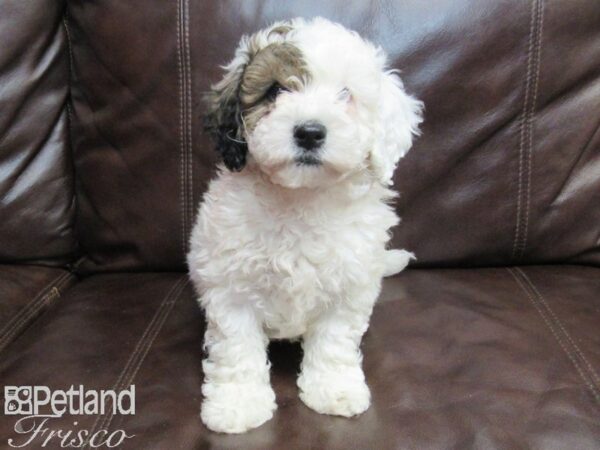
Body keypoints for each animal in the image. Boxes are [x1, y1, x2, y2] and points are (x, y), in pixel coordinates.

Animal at [188, 16, 422, 432]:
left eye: (346, 94)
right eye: (276, 90)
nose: (310, 132)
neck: (301, 198)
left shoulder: (348, 288)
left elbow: (333, 342)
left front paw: (334, 390)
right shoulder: (230, 288)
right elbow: (237, 347)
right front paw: (238, 404)